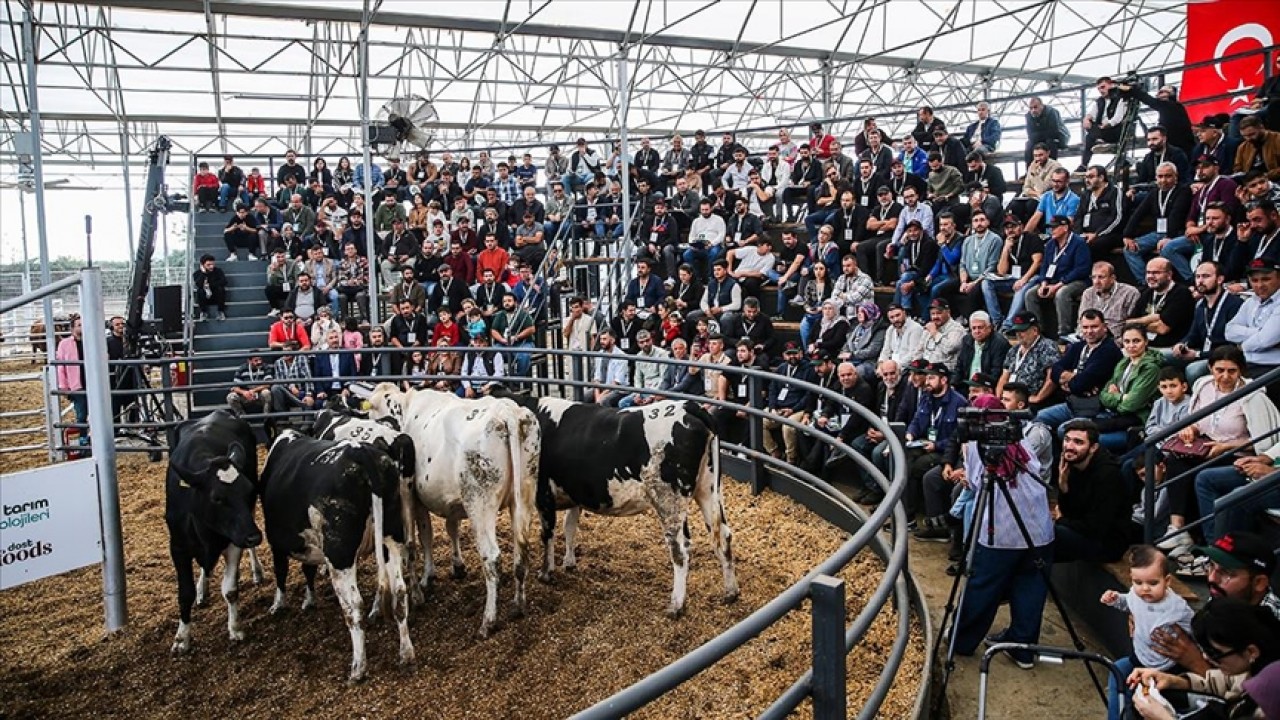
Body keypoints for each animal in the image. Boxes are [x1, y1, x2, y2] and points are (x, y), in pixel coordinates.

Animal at [165, 407, 264, 653]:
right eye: (217, 498)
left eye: (248, 491)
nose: (254, 536)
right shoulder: (178, 546)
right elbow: (185, 593)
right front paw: (181, 638)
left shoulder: (234, 539)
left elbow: (230, 589)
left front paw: (235, 628)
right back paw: (203, 589)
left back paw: (257, 571)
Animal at [261, 427, 414, 681]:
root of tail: (361, 452)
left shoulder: (277, 541)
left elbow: (282, 571)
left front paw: (278, 605)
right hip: (391, 537)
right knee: (400, 592)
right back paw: (406, 654)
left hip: (339, 554)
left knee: (354, 606)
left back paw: (358, 668)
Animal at [368, 381, 537, 632]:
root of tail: (505, 410)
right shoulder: (452, 504)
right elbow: (451, 528)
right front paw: (457, 566)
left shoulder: (414, 498)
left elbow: (421, 538)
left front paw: (425, 580)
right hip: (524, 495)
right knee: (521, 549)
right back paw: (518, 605)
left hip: (480, 504)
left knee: (492, 557)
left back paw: (488, 620)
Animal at [486, 389, 737, 614]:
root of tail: (689, 406)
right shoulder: (575, 493)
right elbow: (570, 527)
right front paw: (569, 562)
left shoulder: (543, 495)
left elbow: (547, 534)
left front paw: (546, 573)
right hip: (709, 490)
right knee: (722, 536)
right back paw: (731, 593)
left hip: (669, 500)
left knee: (680, 550)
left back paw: (676, 606)